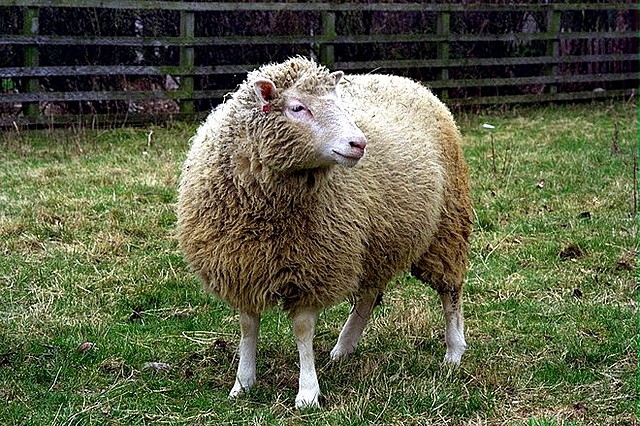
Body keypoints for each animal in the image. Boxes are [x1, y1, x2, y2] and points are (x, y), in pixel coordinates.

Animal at [176, 57, 472, 409]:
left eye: (339, 103)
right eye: (297, 107)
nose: (359, 144)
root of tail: (403, 79)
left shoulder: (313, 266)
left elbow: (303, 330)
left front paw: (307, 393)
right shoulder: (243, 266)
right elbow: (248, 326)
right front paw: (243, 383)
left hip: (447, 224)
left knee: (450, 292)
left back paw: (453, 352)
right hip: (376, 241)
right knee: (368, 296)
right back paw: (343, 348)